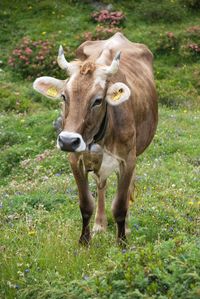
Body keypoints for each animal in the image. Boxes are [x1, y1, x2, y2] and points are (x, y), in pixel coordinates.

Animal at [32, 33, 158, 246]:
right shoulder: (75, 159)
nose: (68, 141)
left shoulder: (127, 159)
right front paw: (84, 241)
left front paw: (122, 242)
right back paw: (100, 224)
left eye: (98, 100)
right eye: (64, 96)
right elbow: (85, 204)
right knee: (101, 185)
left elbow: (120, 205)